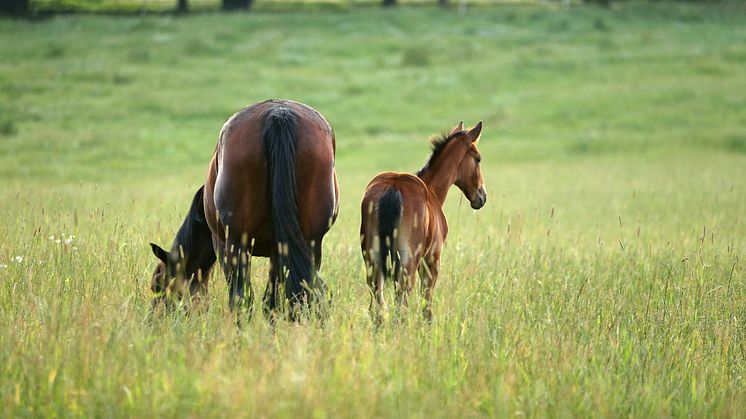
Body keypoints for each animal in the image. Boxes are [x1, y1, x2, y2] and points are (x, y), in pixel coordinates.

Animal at [151, 101, 338, 318]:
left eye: (158, 284)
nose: (154, 315)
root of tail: (278, 115)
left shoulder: (221, 243)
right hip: (310, 242)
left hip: (236, 243)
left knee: (241, 298)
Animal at [358, 121, 486, 322]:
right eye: (478, 159)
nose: (482, 196)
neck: (431, 189)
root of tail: (394, 187)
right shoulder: (431, 260)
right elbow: (427, 304)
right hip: (408, 264)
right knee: (401, 306)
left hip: (372, 262)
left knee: (378, 305)